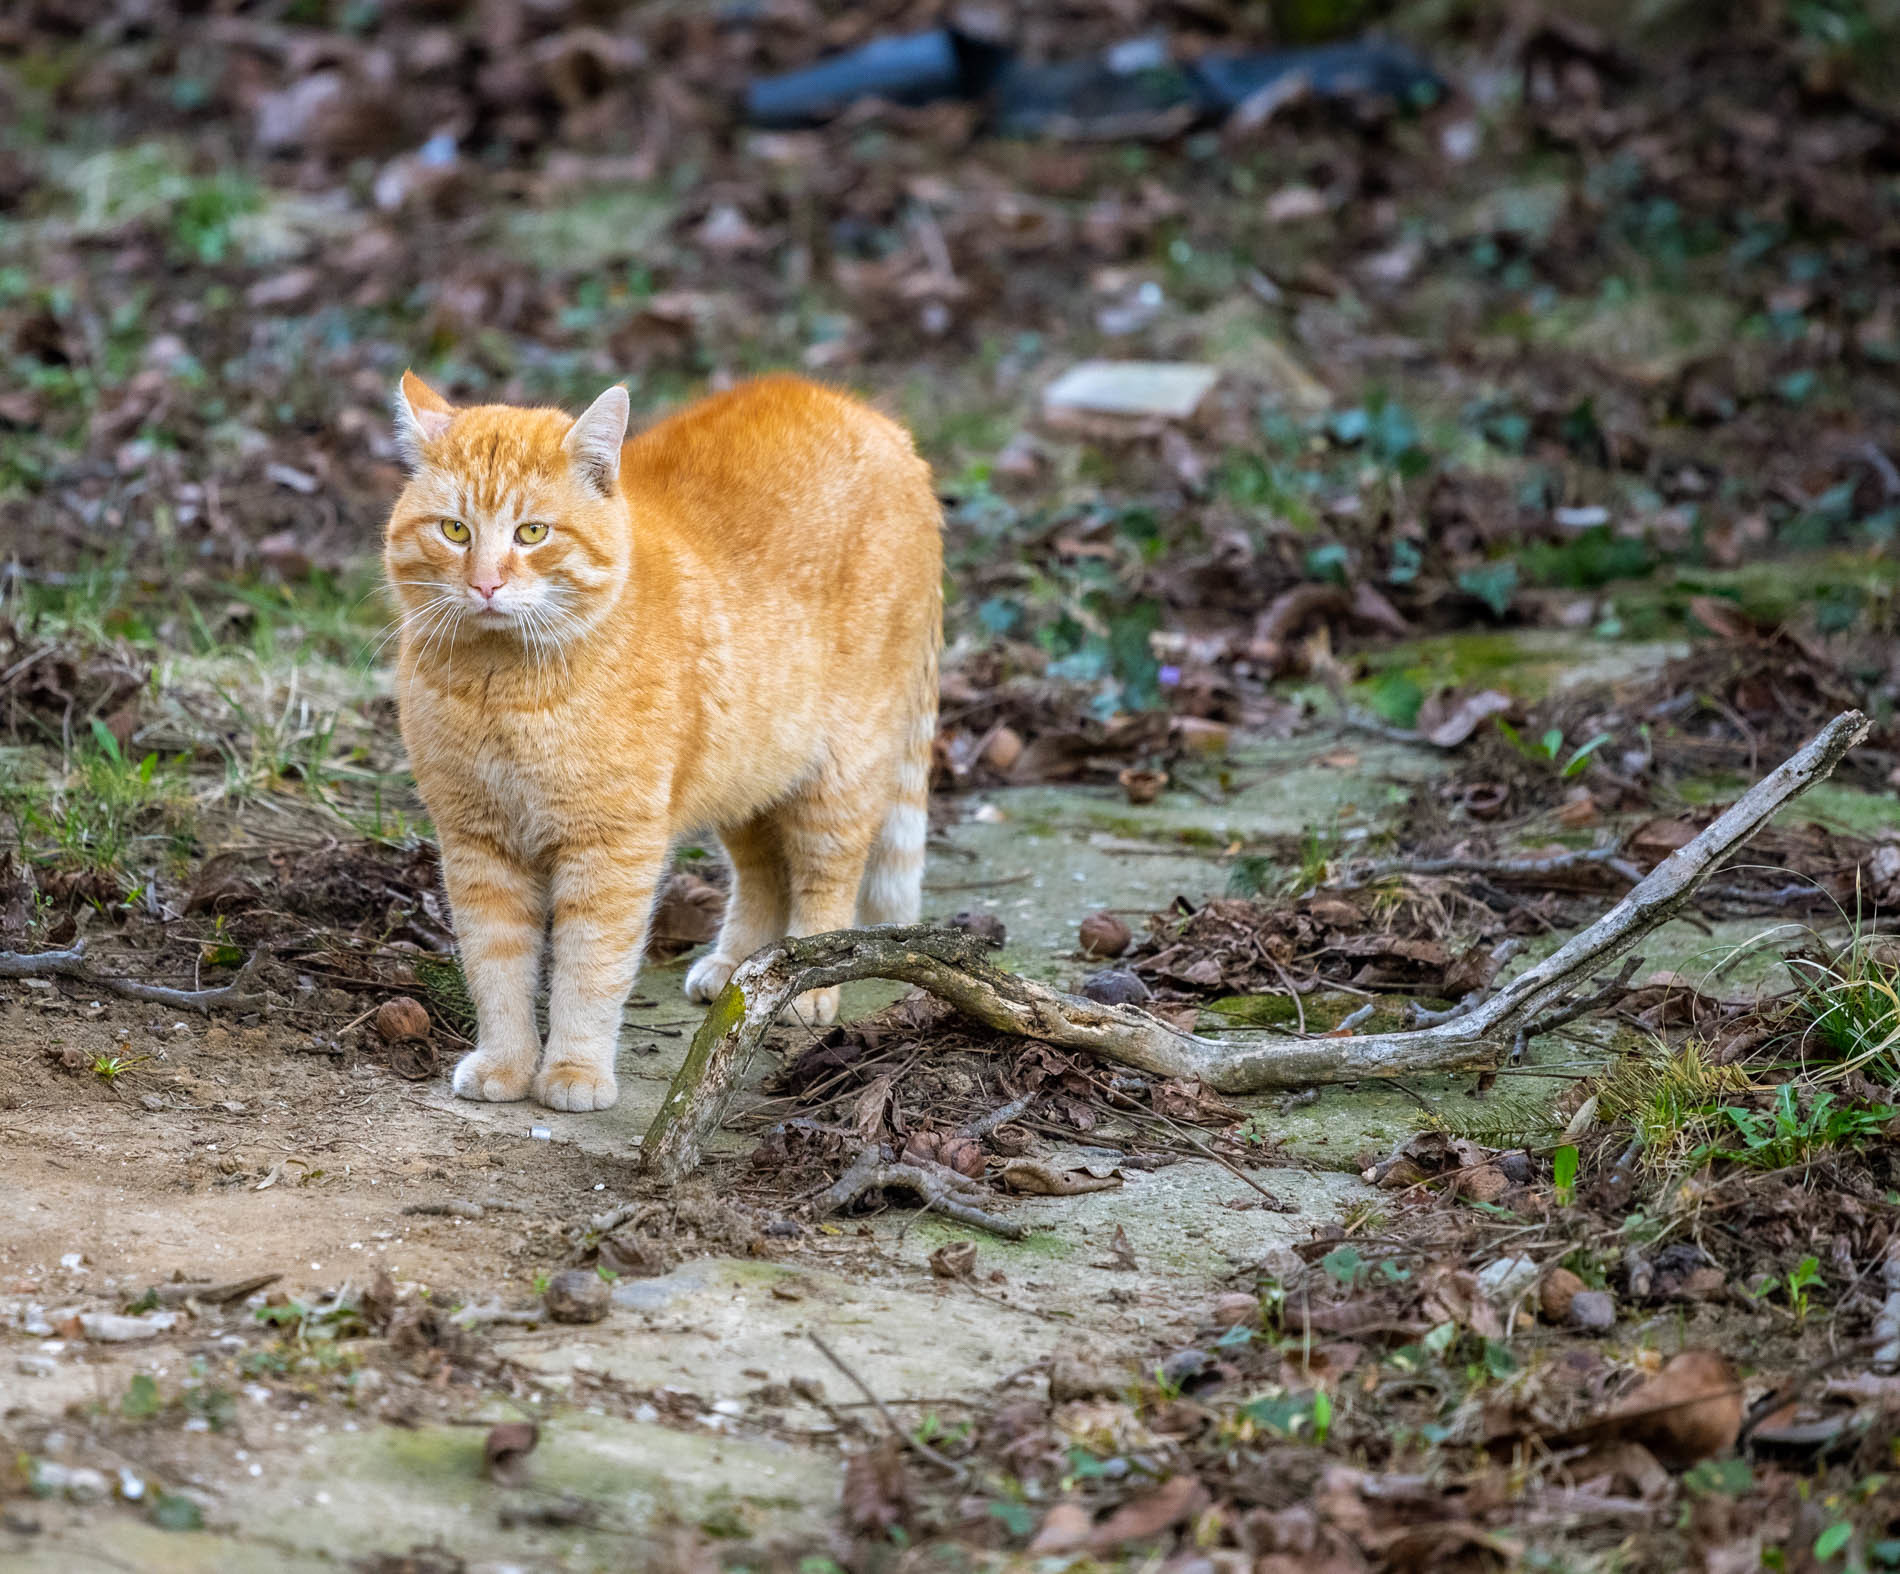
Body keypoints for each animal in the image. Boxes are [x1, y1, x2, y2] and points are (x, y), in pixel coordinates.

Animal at [383, 370, 942, 1110]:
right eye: (454, 530)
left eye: (532, 533)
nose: (486, 584)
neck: (506, 693)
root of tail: (874, 421)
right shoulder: (478, 845)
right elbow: (496, 966)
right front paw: (506, 1063)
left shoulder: (611, 849)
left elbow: (590, 969)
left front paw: (574, 1071)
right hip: (747, 775)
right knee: (764, 875)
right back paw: (745, 971)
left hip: (839, 774)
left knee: (826, 876)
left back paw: (812, 981)